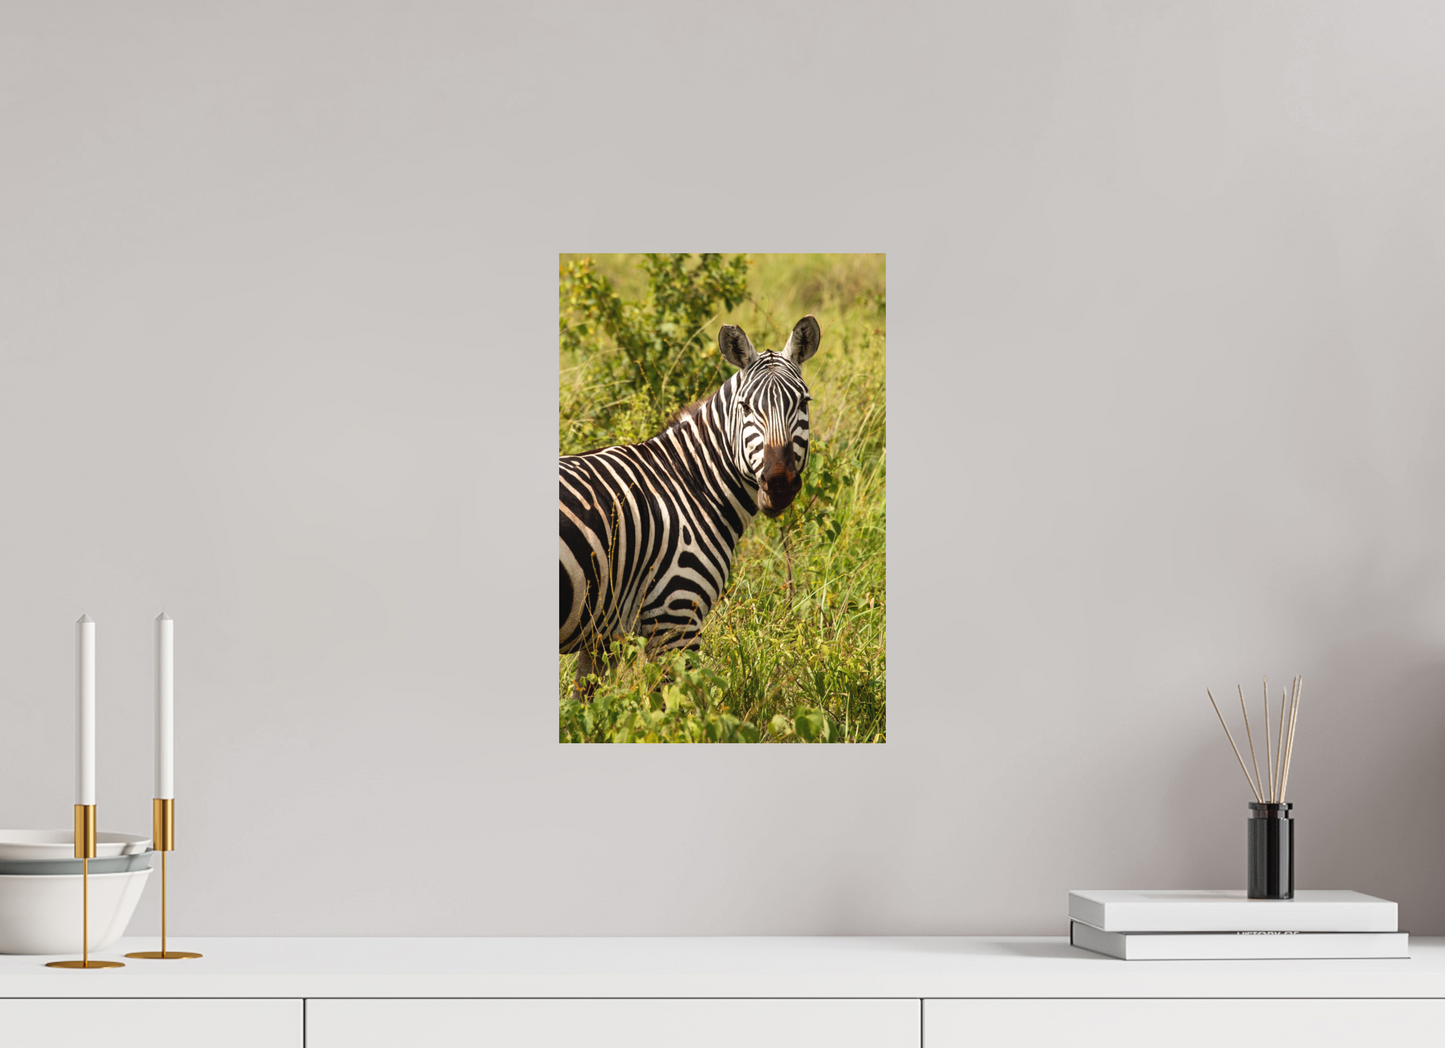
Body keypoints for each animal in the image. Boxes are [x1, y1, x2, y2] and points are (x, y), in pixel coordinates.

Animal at [559, 314, 822, 698]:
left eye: (803, 403)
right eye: (745, 407)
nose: (779, 484)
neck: (689, 481)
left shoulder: (601, 635)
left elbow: (588, 706)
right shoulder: (675, 617)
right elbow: (678, 707)